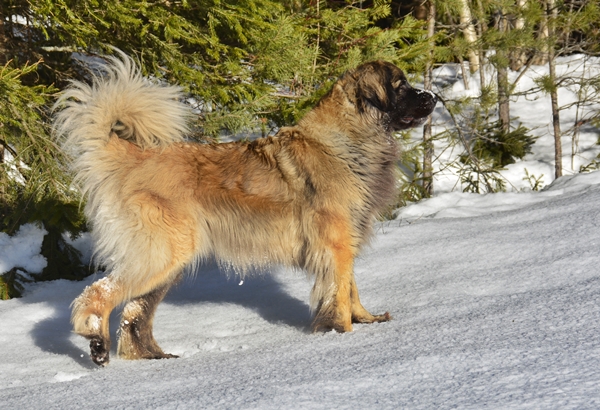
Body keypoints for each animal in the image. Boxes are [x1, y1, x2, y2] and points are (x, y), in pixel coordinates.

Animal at [52, 52, 436, 366]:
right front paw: (343, 333)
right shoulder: (337, 244)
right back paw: (96, 342)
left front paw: (365, 320)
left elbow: (350, 288)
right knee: (99, 294)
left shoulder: (345, 241)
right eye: (400, 87)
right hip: (161, 253)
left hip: (168, 261)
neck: (348, 139)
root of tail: (134, 158)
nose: (432, 97)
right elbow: (339, 291)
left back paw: (153, 358)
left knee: (134, 313)